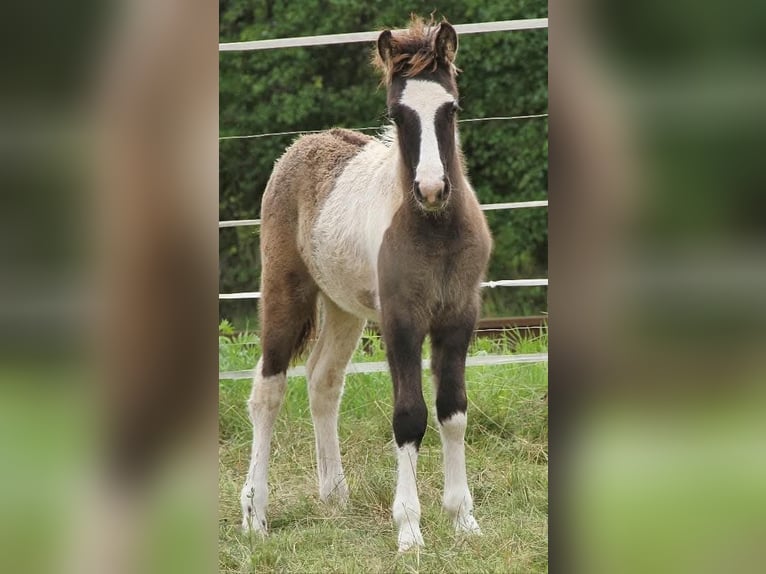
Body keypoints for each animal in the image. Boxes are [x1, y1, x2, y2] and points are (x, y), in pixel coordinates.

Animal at [240, 16, 492, 552]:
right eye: (397, 114)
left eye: (451, 108)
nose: (432, 189)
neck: (434, 228)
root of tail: (301, 145)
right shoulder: (401, 320)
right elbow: (409, 416)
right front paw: (410, 530)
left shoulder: (459, 315)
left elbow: (453, 410)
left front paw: (463, 518)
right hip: (285, 290)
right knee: (267, 390)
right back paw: (255, 514)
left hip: (343, 308)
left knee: (323, 380)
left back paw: (334, 494)